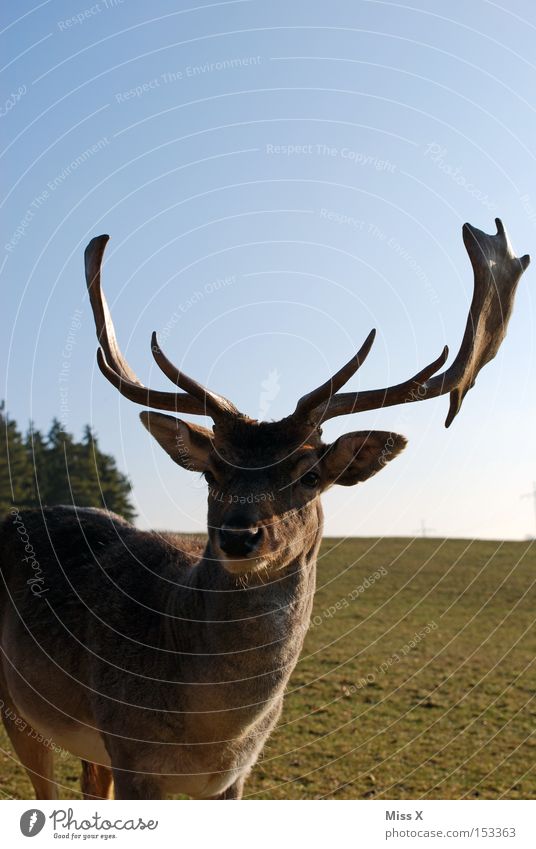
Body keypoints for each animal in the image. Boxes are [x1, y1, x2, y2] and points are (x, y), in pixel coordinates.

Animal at [0, 222, 528, 800]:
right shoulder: (132, 755)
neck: (213, 734)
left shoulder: (234, 776)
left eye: (310, 475)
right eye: (212, 471)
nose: (239, 536)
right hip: (21, 708)